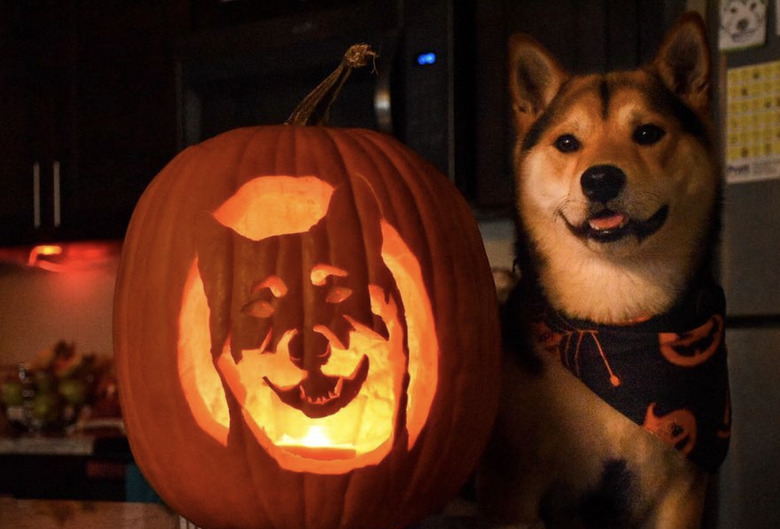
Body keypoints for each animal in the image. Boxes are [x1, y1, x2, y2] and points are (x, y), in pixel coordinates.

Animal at [476, 12, 732, 528]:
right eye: (567, 143)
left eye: (648, 133)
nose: (599, 178)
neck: (615, 320)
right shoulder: (513, 493)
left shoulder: (680, 493)